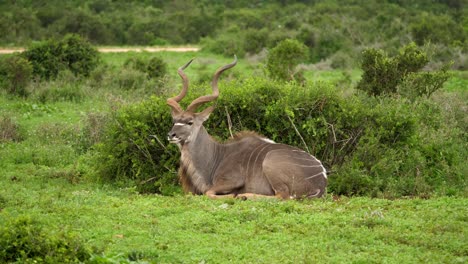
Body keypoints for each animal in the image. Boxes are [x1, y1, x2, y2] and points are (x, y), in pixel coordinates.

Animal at [166, 56, 328, 199]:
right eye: (174, 120)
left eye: (190, 122)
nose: (171, 135)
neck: (217, 155)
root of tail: (322, 178)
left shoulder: (232, 180)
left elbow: (209, 192)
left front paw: (235, 195)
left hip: (270, 163)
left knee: (283, 196)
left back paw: (244, 196)